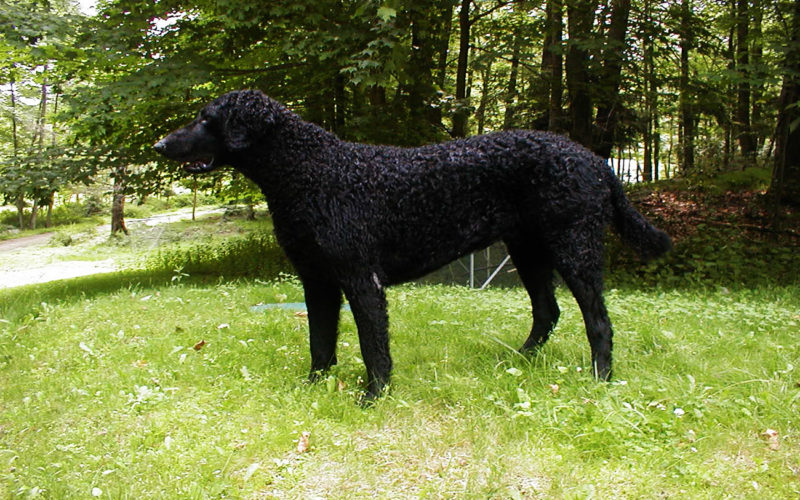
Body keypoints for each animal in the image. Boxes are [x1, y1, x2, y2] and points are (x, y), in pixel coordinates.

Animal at [155, 90, 668, 400]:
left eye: (206, 118)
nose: (160, 145)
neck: (310, 171)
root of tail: (595, 160)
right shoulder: (316, 279)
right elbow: (320, 342)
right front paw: (314, 387)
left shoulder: (361, 279)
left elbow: (372, 346)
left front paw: (373, 395)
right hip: (528, 249)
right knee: (548, 311)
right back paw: (517, 362)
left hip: (575, 246)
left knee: (598, 322)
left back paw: (601, 379)